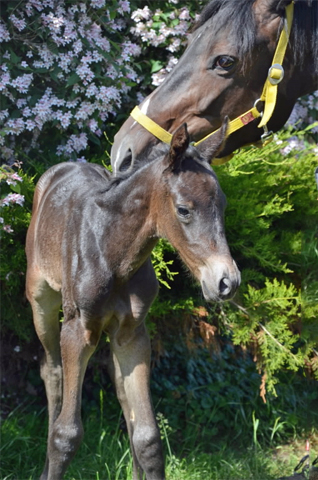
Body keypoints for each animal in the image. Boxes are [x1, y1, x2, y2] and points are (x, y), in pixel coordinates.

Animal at [25, 121, 238, 480]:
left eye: (222, 206)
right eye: (183, 209)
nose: (227, 282)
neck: (113, 251)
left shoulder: (133, 333)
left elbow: (148, 436)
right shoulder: (78, 329)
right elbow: (65, 435)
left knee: (120, 387)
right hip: (41, 300)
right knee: (51, 370)